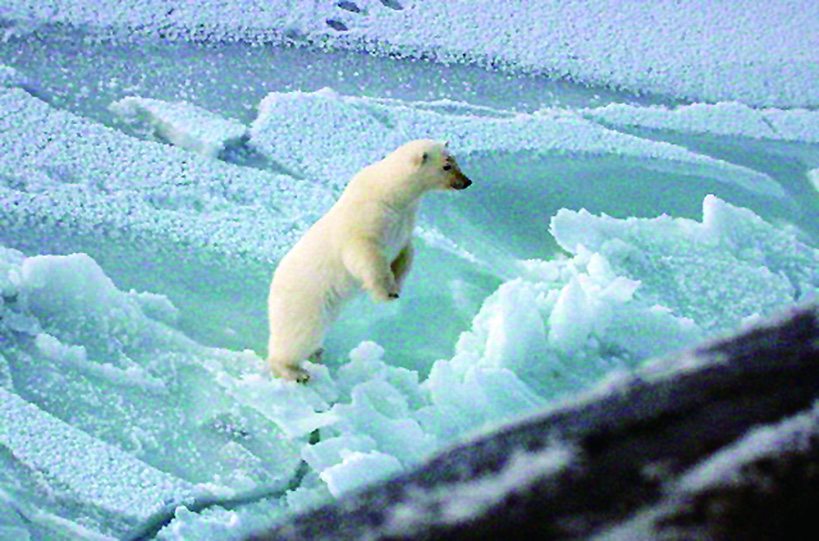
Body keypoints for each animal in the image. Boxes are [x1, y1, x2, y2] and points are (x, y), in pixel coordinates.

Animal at [270, 140, 474, 384]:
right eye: (446, 166)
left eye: (455, 160)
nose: (467, 181)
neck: (391, 194)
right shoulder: (367, 217)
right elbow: (364, 254)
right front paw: (388, 292)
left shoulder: (405, 220)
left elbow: (406, 253)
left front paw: (398, 283)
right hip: (305, 300)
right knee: (299, 333)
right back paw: (294, 371)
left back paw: (316, 352)